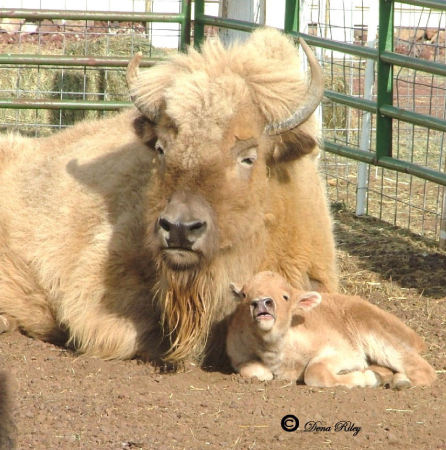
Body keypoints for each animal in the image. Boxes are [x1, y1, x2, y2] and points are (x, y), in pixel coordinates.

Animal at [228, 270, 438, 390]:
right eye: (244, 295)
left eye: (285, 296)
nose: (262, 303)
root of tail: (417, 338)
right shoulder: (237, 356)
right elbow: (253, 370)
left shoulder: (346, 352)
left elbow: (315, 372)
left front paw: (367, 378)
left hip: (376, 334)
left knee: (424, 369)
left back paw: (400, 381)